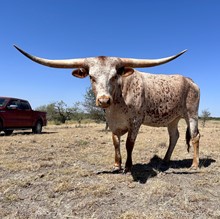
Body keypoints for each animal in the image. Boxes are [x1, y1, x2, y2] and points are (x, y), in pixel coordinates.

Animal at [13, 45, 199, 173]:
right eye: (91, 77)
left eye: (115, 76)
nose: (103, 100)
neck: (118, 102)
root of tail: (189, 80)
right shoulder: (112, 122)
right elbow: (115, 142)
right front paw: (117, 164)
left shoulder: (136, 122)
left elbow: (129, 144)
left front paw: (128, 166)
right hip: (172, 118)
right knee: (174, 136)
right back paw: (165, 161)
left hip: (191, 114)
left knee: (195, 137)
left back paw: (195, 164)